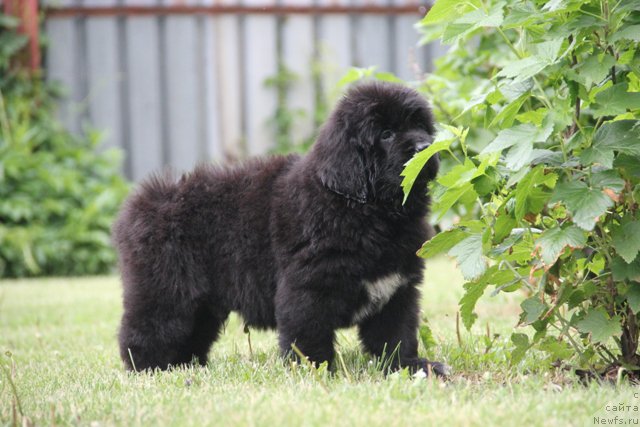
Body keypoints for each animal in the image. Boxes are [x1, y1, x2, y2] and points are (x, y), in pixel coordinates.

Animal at [114, 82, 444, 376]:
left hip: (201, 305)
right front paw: (317, 373)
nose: (425, 146)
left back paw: (186, 367)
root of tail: (143, 202)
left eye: (421, 126)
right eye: (386, 134)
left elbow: (396, 336)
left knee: (192, 334)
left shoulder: (396, 290)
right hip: (167, 290)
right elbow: (307, 337)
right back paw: (151, 370)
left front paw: (413, 367)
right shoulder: (308, 288)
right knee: (146, 329)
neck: (367, 212)